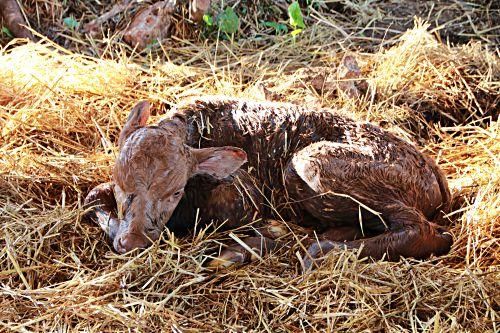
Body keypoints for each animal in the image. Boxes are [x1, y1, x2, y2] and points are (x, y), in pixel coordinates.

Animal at [84, 96, 452, 268]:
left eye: (175, 191)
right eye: (120, 183)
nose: (133, 241)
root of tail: (436, 175)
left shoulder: (244, 199)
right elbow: (92, 195)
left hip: (311, 163)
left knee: (426, 232)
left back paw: (316, 250)